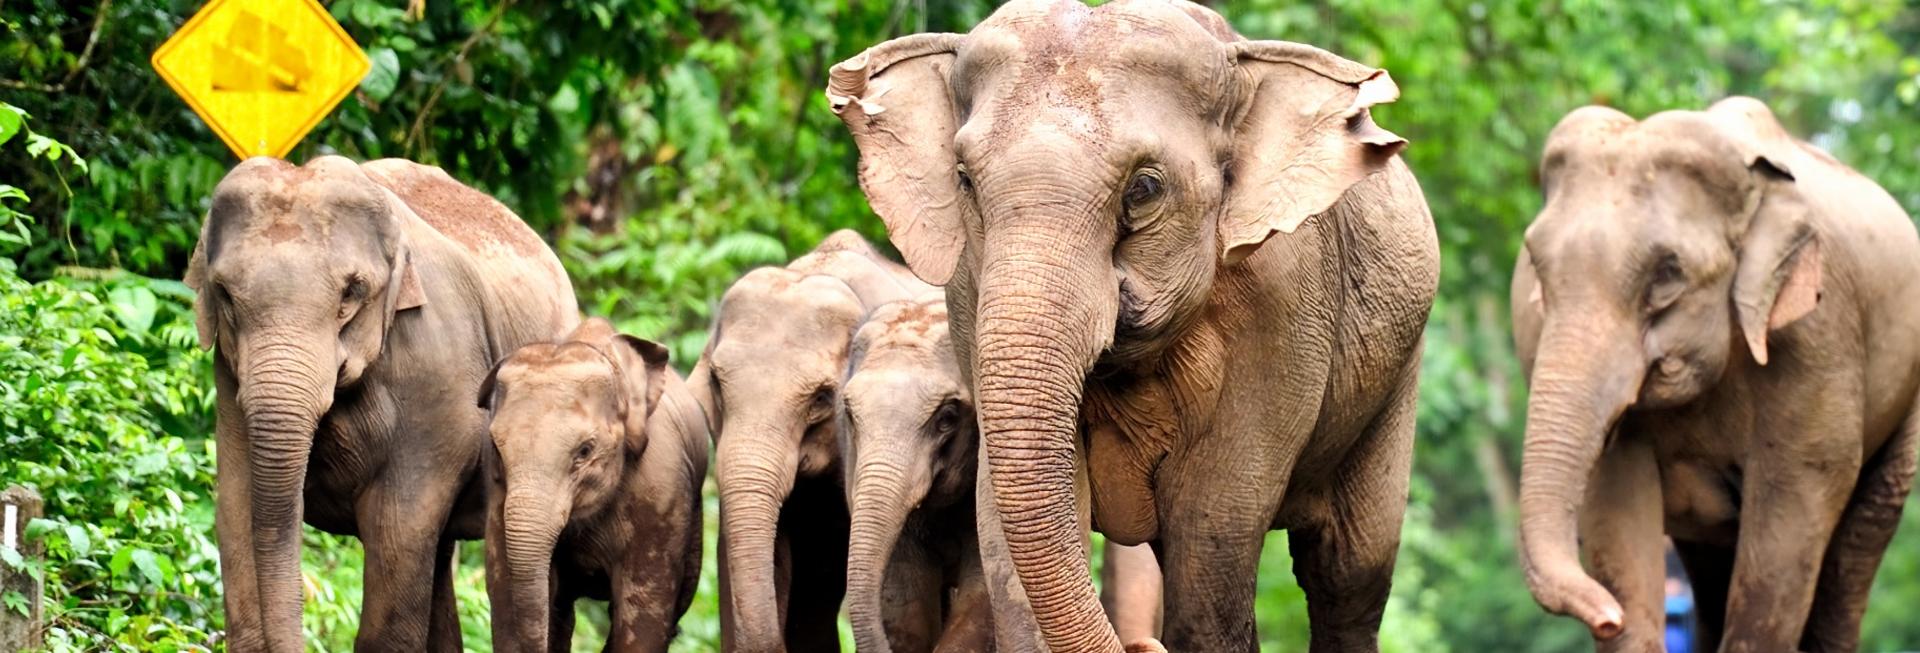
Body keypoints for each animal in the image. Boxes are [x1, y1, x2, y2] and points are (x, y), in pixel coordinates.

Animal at [184, 156, 579, 651]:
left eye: (352, 292)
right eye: (225, 294)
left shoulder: (436, 370)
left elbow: (399, 527)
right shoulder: (228, 373)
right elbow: (235, 507)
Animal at [477, 317, 709, 652]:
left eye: (585, 451)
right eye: (497, 447)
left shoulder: (661, 487)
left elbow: (643, 609)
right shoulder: (498, 495)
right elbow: (505, 595)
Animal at [1511, 97, 1920, 652]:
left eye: (1667, 274)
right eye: (1536, 265)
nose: (1606, 617)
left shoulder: (1820, 335)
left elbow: (1793, 506)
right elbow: (1617, 505)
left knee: (1858, 542)